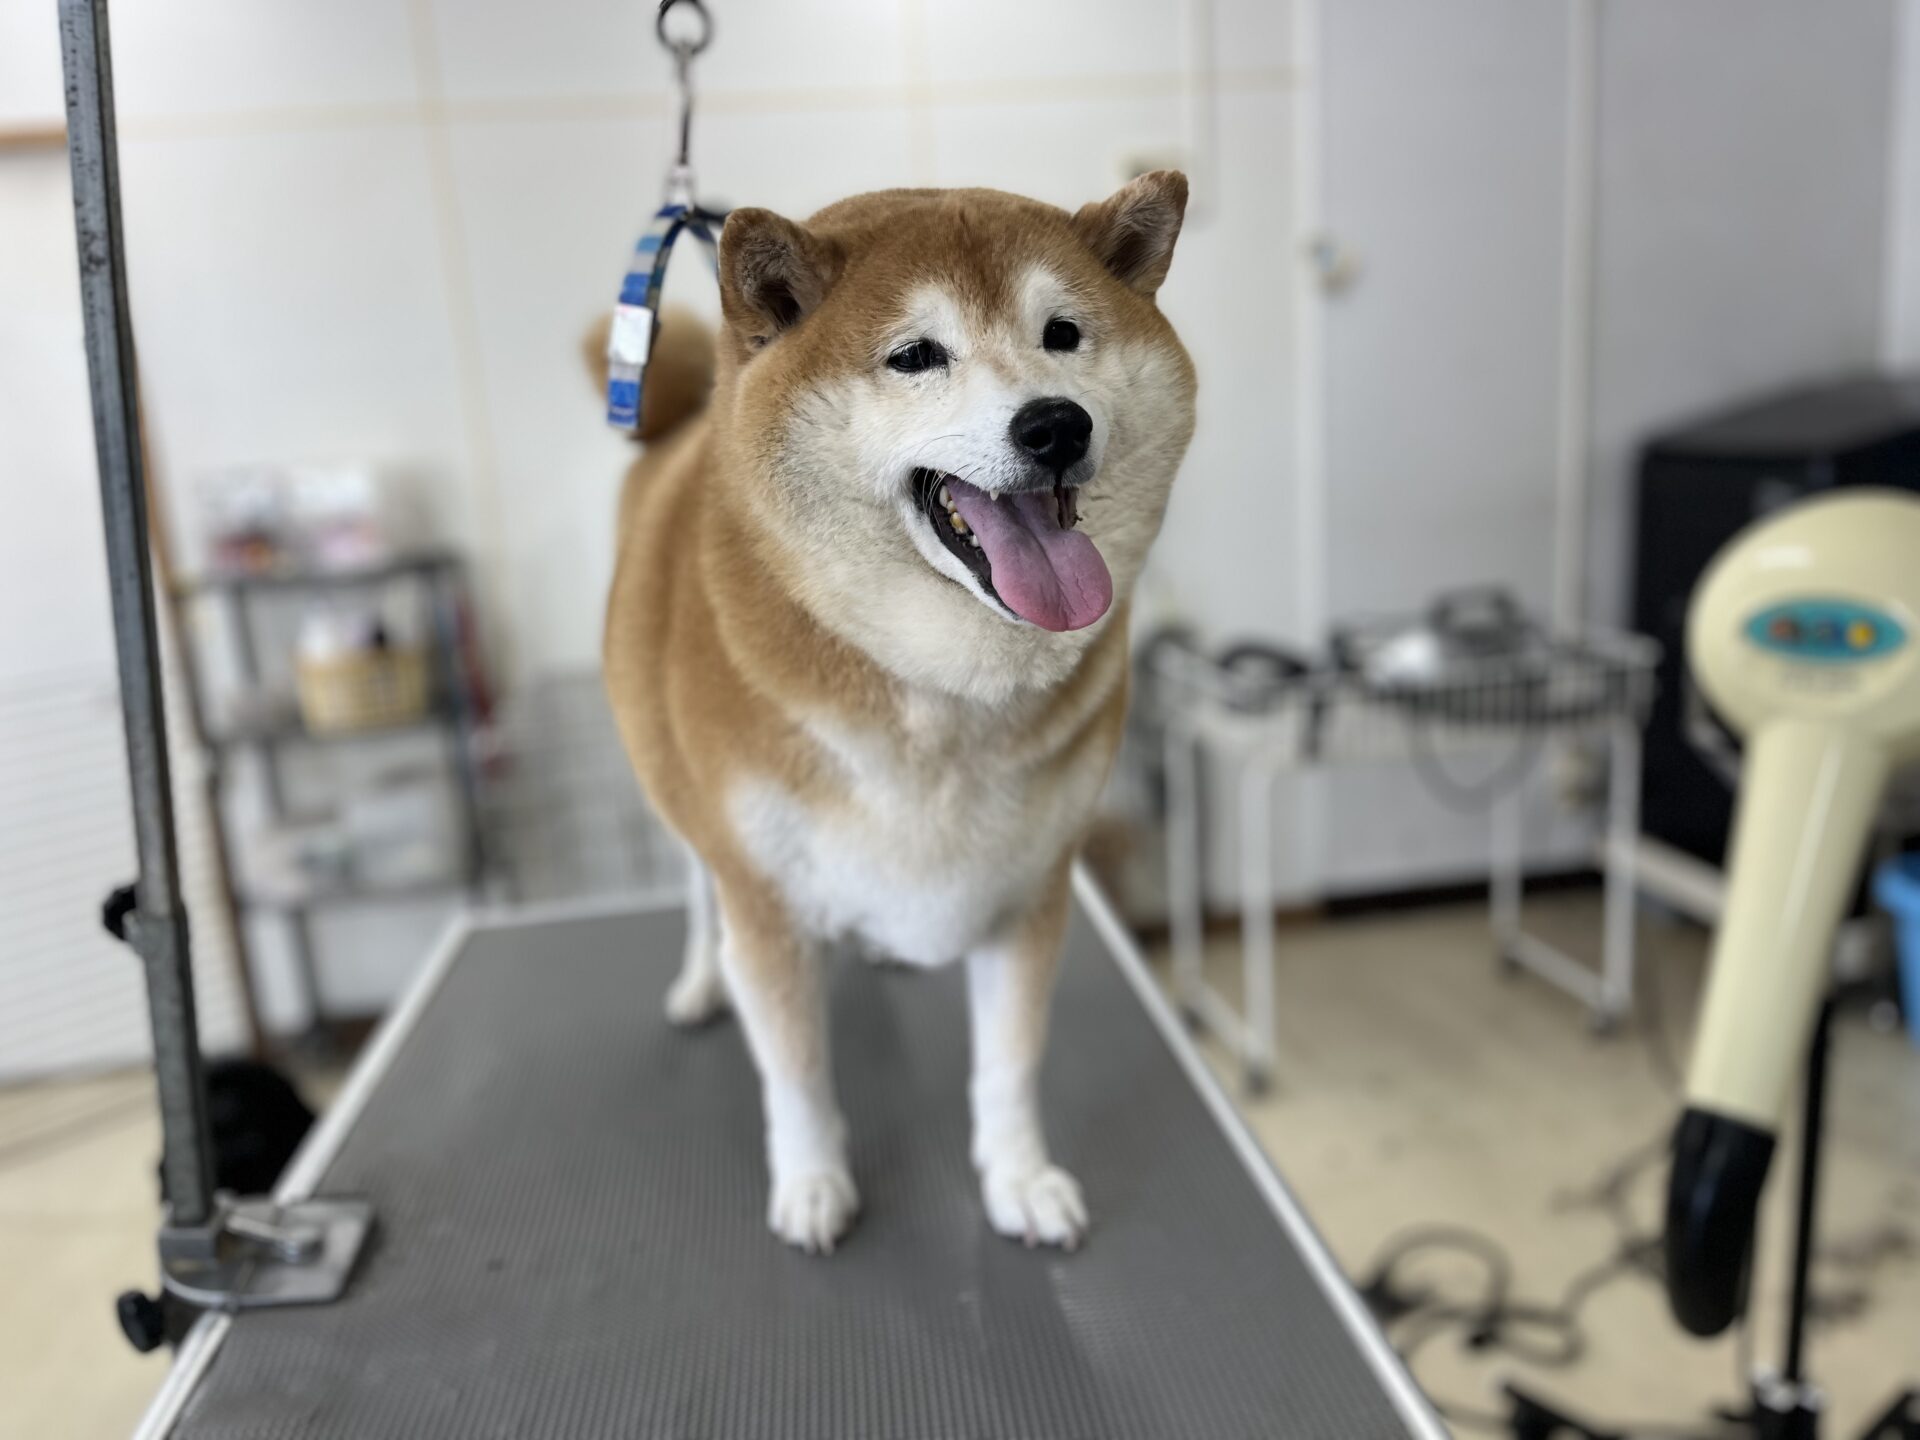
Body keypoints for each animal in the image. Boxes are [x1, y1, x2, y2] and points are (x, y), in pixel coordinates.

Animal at [601, 173, 1195, 1253]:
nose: (1055, 425)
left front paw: (1020, 1178)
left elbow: (1009, 1063)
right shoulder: (766, 902)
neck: (942, 696)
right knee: (699, 894)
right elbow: (795, 1071)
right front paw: (813, 1183)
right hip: (684, 807)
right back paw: (703, 982)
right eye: (915, 355)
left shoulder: (1030, 890)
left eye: (1063, 333)